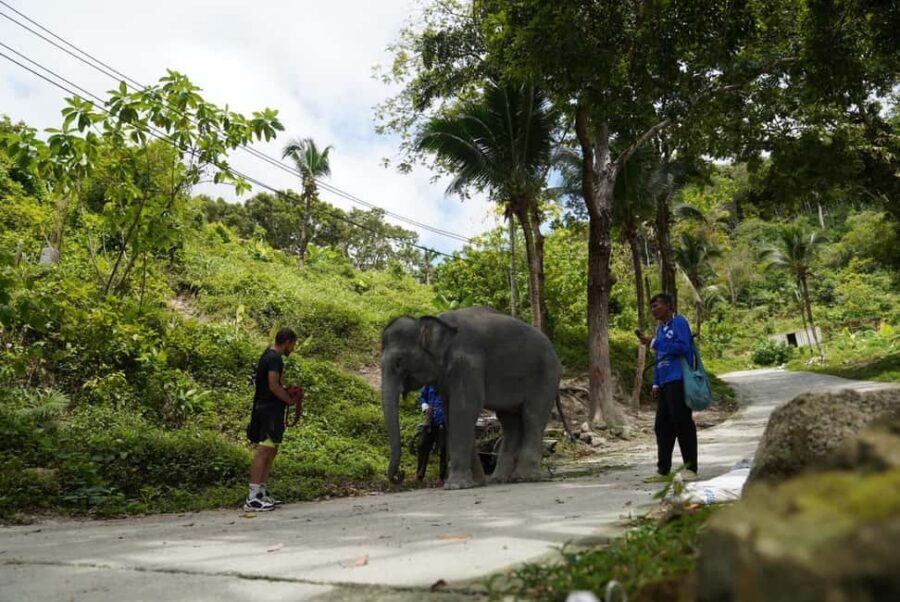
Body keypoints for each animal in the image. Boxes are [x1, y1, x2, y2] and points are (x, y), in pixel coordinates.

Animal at [381, 307, 562, 490]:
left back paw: (526, 477)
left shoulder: (467, 364)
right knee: (510, 422)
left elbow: (464, 408)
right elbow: (450, 413)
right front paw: (476, 482)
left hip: (546, 376)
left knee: (533, 415)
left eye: (399, 361)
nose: (400, 474)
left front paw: (455, 486)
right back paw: (500, 479)